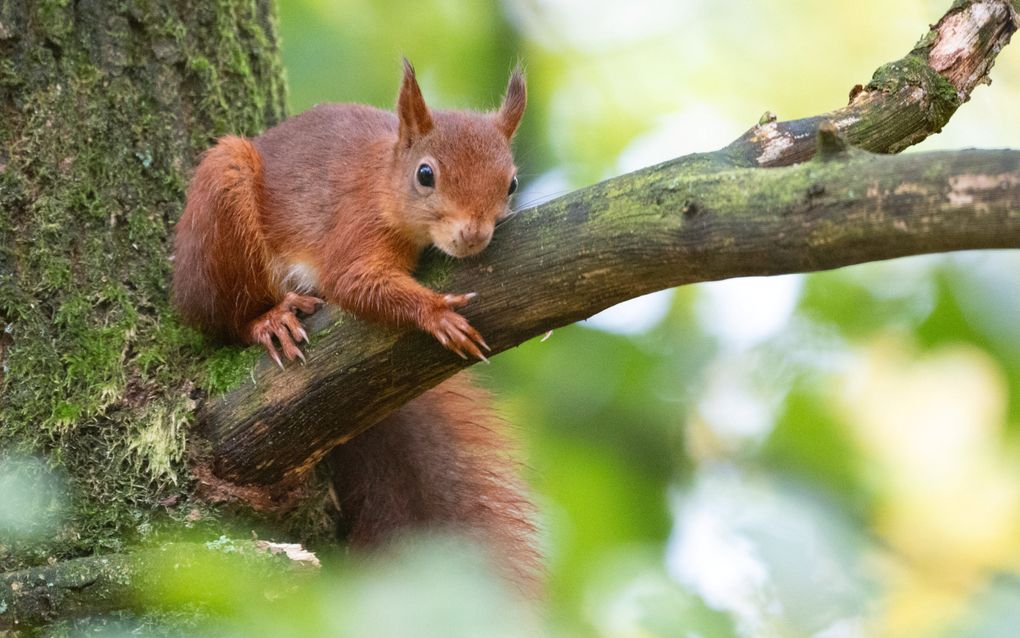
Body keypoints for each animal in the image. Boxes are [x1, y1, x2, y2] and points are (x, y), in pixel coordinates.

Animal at [173, 60, 542, 592]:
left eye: (511, 184)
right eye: (425, 175)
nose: (473, 235)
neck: (384, 180)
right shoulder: (355, 226)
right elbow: (354, 284)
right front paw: (437, 314)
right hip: (221, 207)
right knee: (224, 319)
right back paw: (267, 320)